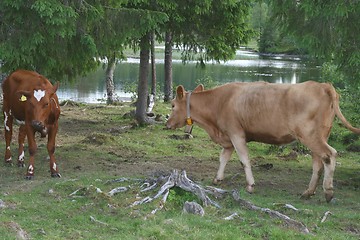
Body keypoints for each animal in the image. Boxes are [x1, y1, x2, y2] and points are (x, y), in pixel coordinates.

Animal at [166, 81, 360, 202]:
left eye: (173, 105)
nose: (167, 123)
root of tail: (323, 85)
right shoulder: (228, 138)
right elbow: (223, 158)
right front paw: (217, 179)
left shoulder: (236, 133)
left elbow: (244, 160)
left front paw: (250, 186)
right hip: (319, 136)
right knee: (318, 163)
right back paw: (308, 192)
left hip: (310, 135)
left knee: (329, 155)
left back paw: (328, 192)